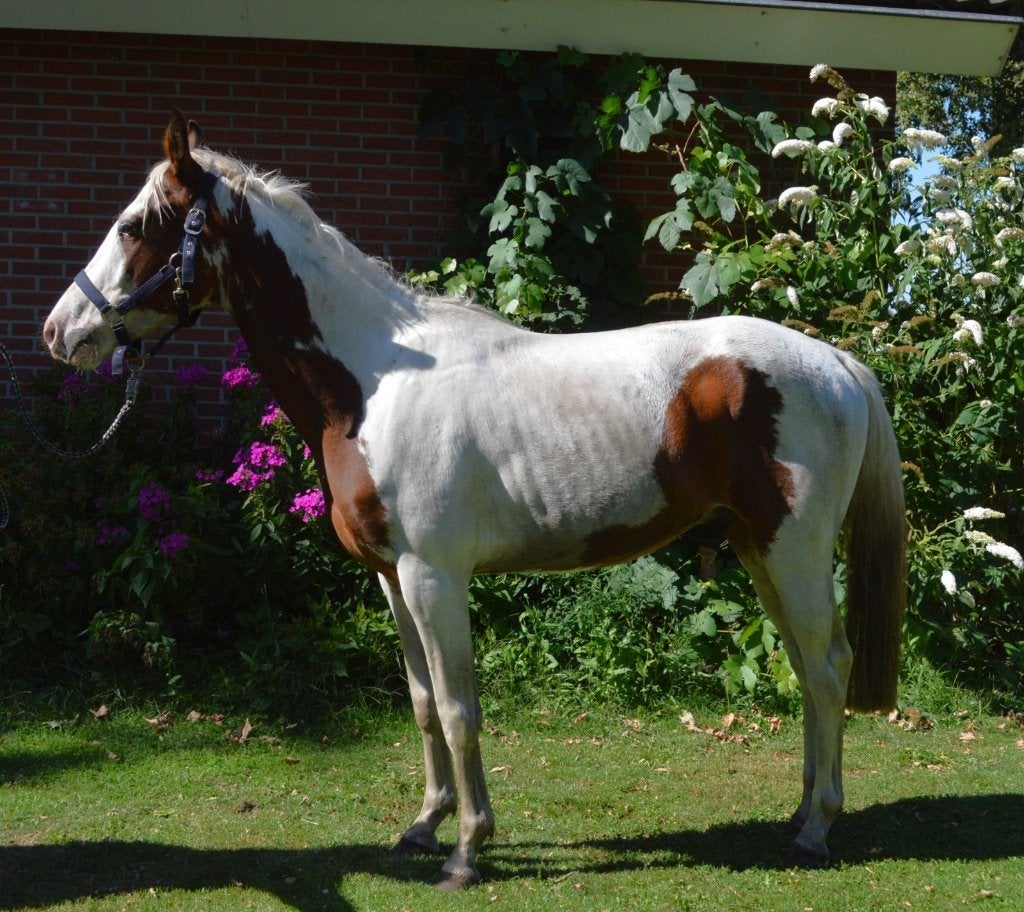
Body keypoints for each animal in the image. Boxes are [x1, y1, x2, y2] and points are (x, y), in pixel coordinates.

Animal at [43, 111, 906, 888]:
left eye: (133, 226)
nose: (61, 332)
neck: (375, 381)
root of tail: (836, 362)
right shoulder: (393, 579)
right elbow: (425, 703)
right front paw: (423, 826)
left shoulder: (434, 576)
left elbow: (461, 709)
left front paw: (467, 848)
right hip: (760, 548)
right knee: (807, 669)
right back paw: (800, 813)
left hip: (793, 551)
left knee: (827, 668)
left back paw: (817, 829)